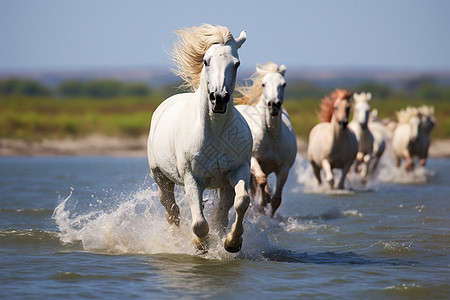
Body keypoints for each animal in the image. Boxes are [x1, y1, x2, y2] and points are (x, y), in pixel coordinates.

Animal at [148, 24, 253, 253]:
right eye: (206, 61)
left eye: (237, 63)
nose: (219, 98)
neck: (216, 132)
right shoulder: (192, 178)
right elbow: (198, 223)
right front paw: (201, 244)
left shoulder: (237, 170)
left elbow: (242, 201)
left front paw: (232, 243)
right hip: (161, 178)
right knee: (173, 211)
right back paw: (175, 242)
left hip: (223, 184)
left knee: (222, 211)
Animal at [234, 62, 298, 217]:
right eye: (263, 84)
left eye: (284, 84)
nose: (274, 104)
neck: (271, 135)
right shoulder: (252, 159)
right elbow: (261, 179)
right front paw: (263, 201)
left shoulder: (284, 169)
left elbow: (276, 200)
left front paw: (270, 217)